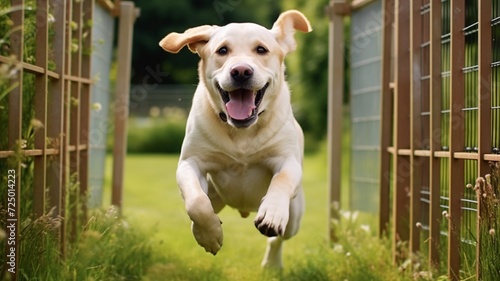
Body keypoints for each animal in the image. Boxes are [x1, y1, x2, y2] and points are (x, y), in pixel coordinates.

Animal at [158, 9, 310, 266]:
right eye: (222, 50)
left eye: (261, 50)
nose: (240, 71)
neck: (242, 132)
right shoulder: (190, 162)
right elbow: (196, 202)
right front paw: (209, 235)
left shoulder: (287, 160)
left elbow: (282, 180)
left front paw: (271, 213)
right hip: (216, 195)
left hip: (295, 216)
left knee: (279, 238)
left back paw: (272, 263)